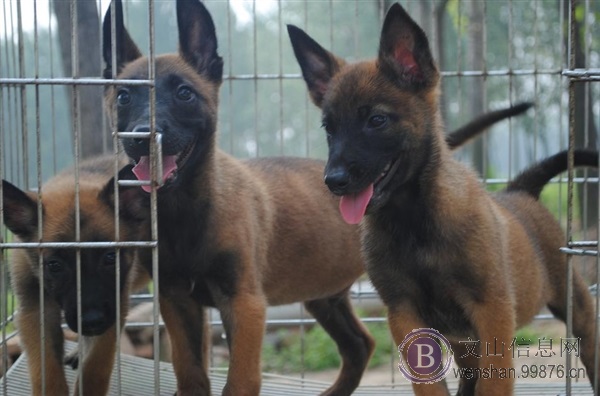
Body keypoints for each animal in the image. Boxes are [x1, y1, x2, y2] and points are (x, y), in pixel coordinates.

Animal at [288, 3, 596, 396]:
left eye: (377, 120)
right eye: (329, 128)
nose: (334, 181)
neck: (413, 221)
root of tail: (518, 190)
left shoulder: (492, 310)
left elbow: (495, 383)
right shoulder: (404, 313)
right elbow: (429, 383)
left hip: (575, 306)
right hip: (464, 342)